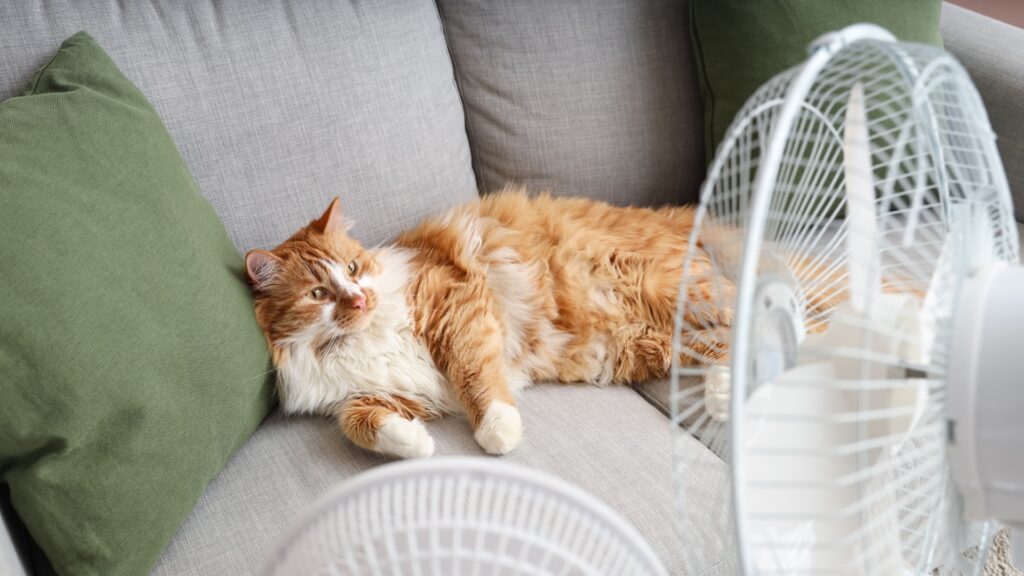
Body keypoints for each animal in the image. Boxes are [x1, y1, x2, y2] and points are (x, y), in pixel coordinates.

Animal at [245, 189, 730, 458]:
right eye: (317, 294)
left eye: (352, 267)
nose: (361, 299)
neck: (359, 340)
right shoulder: (380, 393)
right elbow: (357, 422)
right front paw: (416, 443)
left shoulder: (455, 306)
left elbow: (476, 376)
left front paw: (498, 431)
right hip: (648, 342)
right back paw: (720, 397)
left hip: (674, 293)